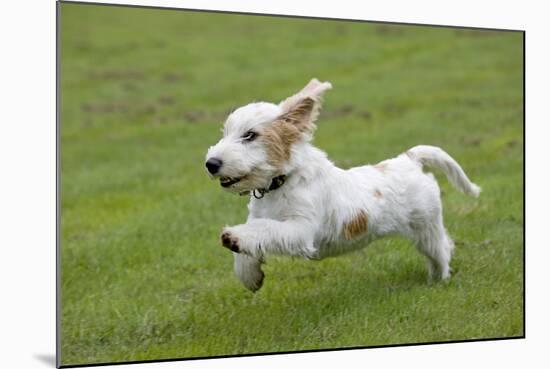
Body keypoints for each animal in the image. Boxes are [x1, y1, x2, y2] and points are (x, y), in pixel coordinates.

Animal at [205, 77, 480, 290]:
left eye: (250, 135)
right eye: (225, 133)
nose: (211, 163)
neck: (283, 182)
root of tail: (408, 159)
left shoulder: (301, 229)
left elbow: (264, 229)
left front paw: (233, 237)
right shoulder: (260, 217)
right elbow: (252, 240)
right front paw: (250, 276)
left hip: (426, 227)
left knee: (442, 249)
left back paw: (438, 279)